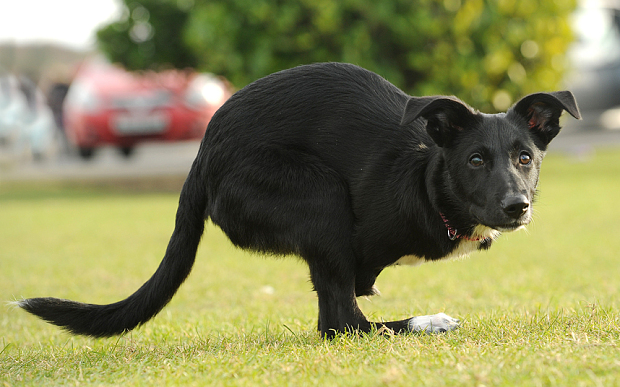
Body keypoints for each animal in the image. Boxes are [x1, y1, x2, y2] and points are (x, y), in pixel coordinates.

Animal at [19, 63, 580, 340]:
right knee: (340, 324)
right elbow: (345, 309)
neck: (426, 180)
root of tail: (203, 154)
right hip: (318, 196)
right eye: (476, 160)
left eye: (525, 157)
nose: (517, 206)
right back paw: (429, 323)